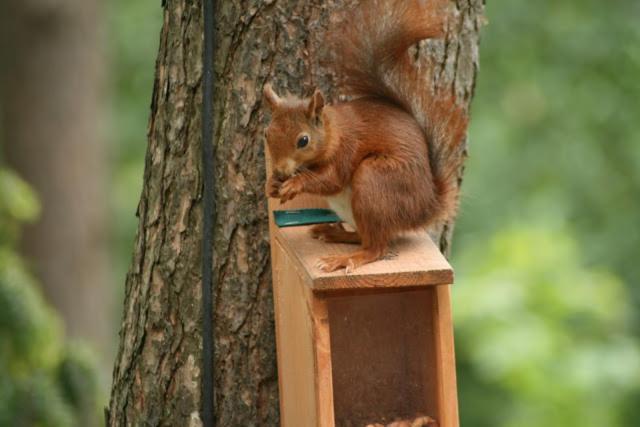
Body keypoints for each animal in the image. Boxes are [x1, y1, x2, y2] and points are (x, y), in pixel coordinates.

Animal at [262, 0, 468, 272]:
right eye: (267, 134)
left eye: (303, 141)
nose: (280, 171)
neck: (333, 132)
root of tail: (425, 207)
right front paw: (272, 184)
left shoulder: (346, 149)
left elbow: (331, 179)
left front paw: (294, 183)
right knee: (365, 236)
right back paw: (334, 233)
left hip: (374, 181)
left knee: (376, 248)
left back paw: (346, 259)